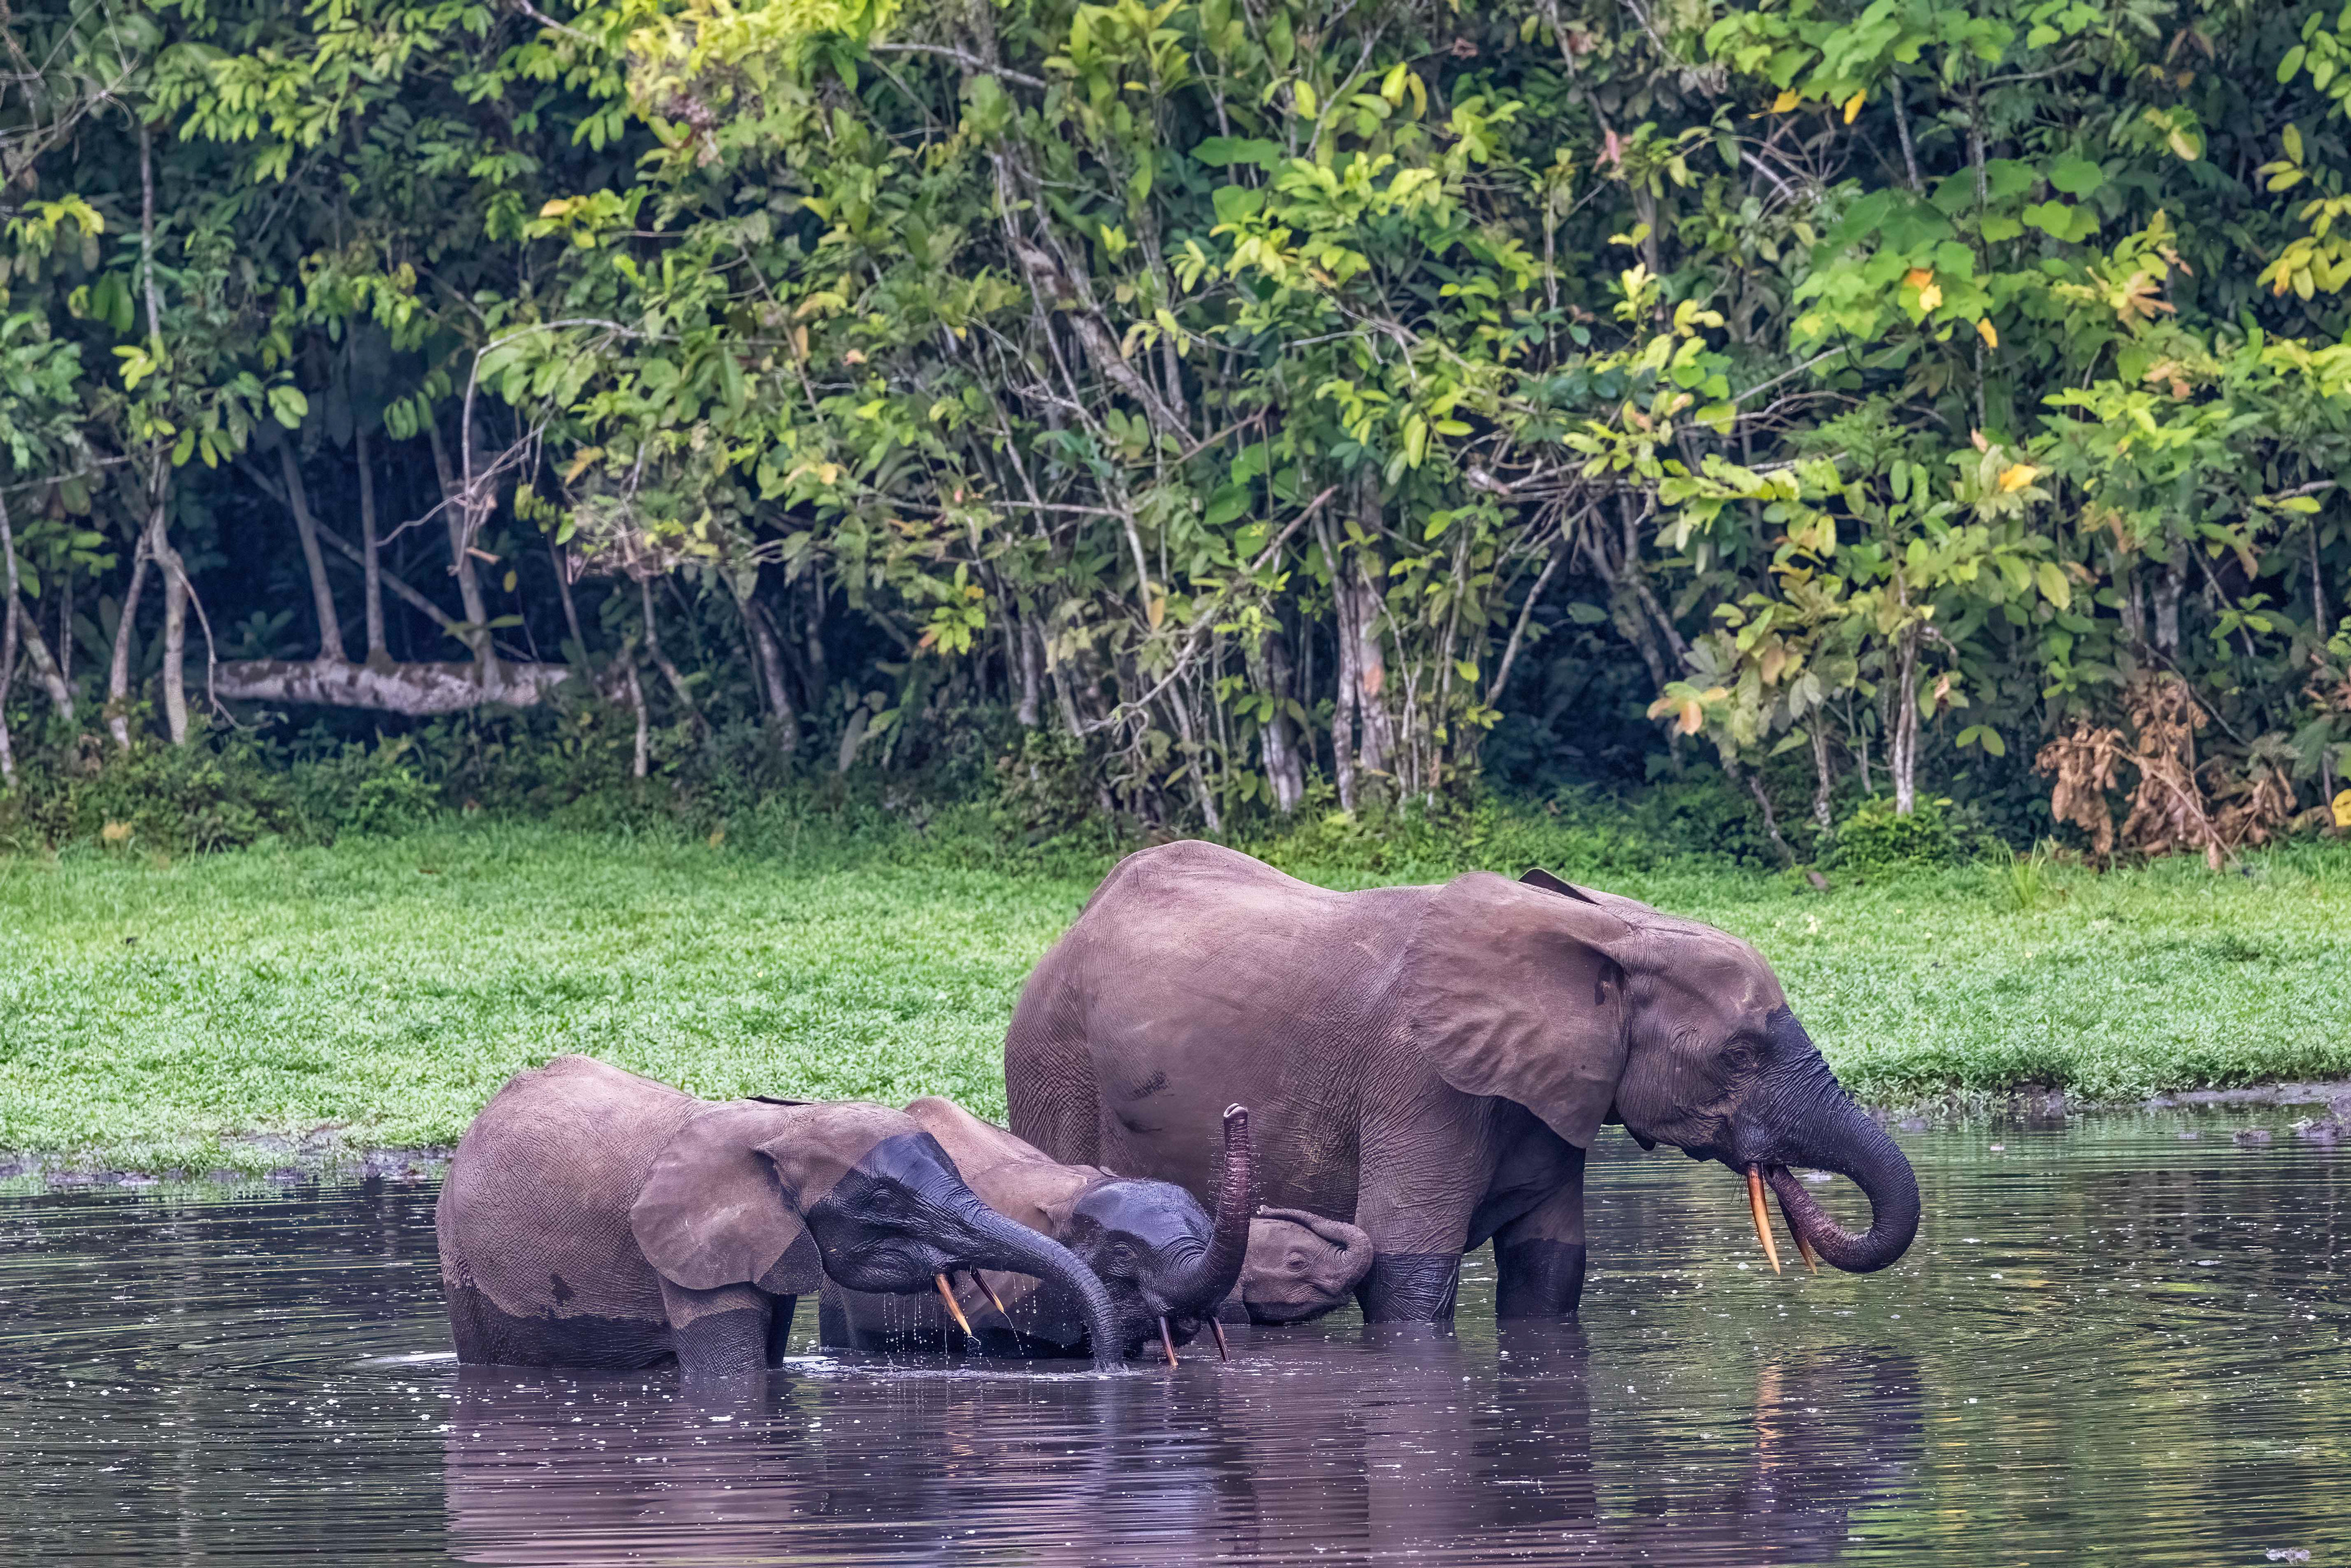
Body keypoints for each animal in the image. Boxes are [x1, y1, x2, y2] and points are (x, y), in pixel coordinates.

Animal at [435, 1054, 1124, 1376]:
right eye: (883, 1202)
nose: (1108, 1370)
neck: (786, 1124)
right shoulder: (686, 1250)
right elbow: (733, 1376)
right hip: (459, 1256)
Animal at [1004, 841, 1920, 1322]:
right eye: (1738, 1055)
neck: (1609, 933)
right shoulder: (1418, 1079)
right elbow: (1409, 1273)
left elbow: (1551, 1273)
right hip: (1053, 1059)